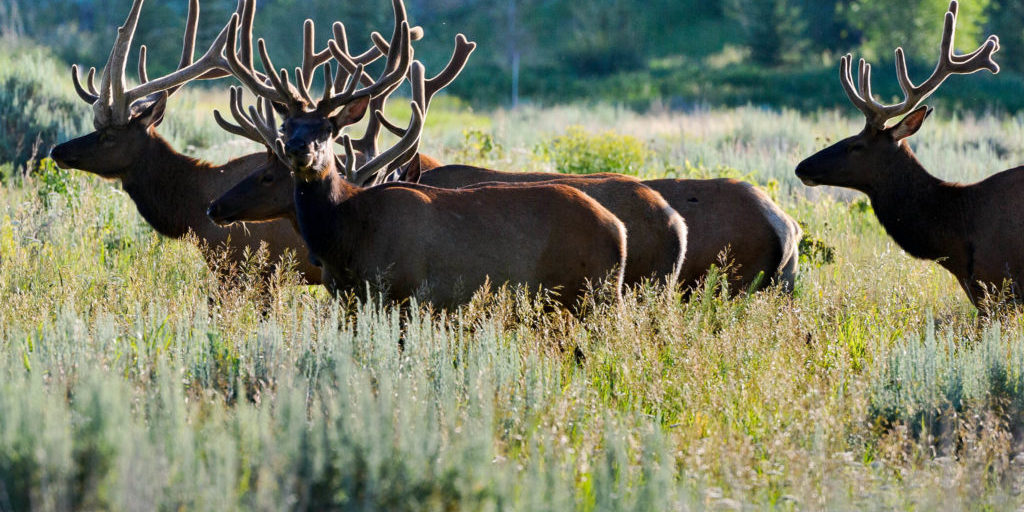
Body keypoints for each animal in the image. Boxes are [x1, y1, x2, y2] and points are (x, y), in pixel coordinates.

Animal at [221, 3, 627, 309]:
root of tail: (619, 230)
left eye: (326, 130)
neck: (348, 236)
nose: (298, 150)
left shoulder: (404, 292)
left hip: (588, 295)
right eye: (286, 126)